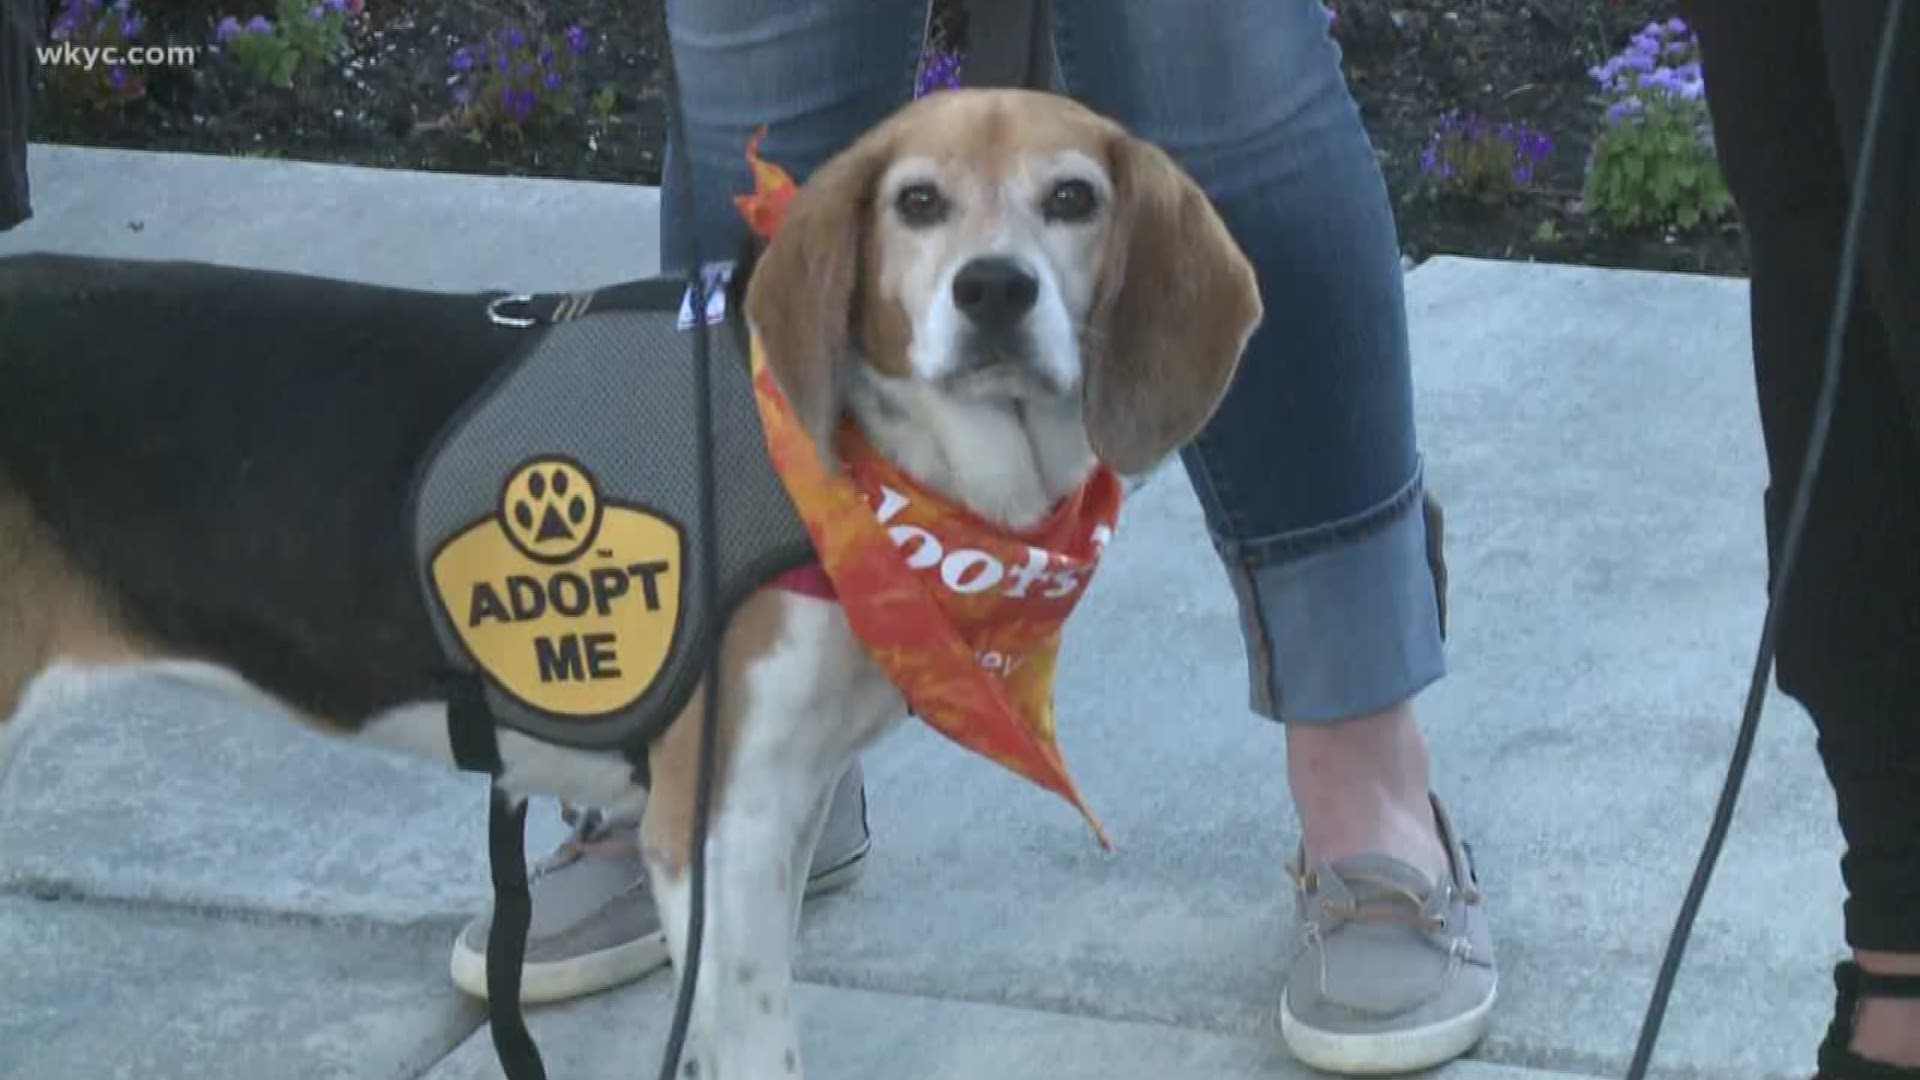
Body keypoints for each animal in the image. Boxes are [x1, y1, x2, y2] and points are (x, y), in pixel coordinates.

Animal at [3, 88, 1259, 1068]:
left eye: (1073, 200)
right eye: (917, 203)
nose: (993, 290)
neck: (875, 474)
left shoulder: (781, 811)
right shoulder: (721, 831)